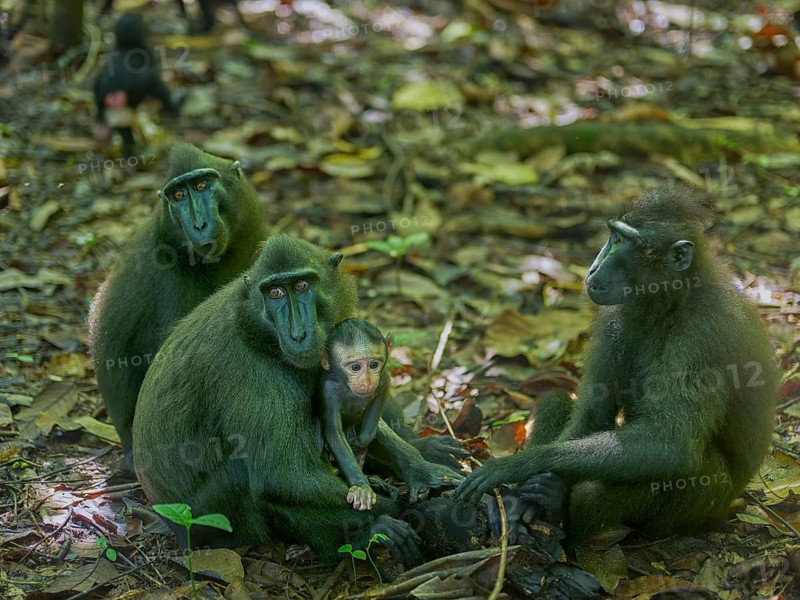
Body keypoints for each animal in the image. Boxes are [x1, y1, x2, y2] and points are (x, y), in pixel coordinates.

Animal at [318, 319, 393, 511]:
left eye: (373, 365)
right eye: (355, 367)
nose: (367, 382)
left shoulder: (383, 379)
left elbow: (379, 399)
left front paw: (359, 446)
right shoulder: (328, 392)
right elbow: (335, 434)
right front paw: (361, 487)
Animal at [454, 185, 780, 545]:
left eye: (622, 241)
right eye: (613, 236)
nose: (593, 268)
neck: (671, 299)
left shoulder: (703, 334)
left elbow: (669, 444)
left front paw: (519, 465)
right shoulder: (613, 318)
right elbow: (594, 413)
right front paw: (519, 494)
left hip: (707, 503)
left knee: (620, 484)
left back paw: (558, 507)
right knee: (555, 400)